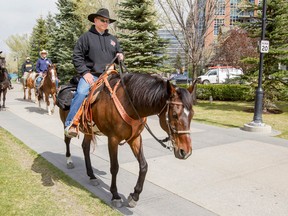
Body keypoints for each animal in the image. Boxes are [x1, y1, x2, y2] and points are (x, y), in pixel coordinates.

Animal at [59, 72, 197, 208]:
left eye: (192, 114)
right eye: (174, 115)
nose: (186, 151)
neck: (130, 104)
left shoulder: (135, 138)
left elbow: (144, 165)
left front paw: (134, 195)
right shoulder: (113, 139)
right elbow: (114, 167)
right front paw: (115, 195)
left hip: (89, 130)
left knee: (85, 147)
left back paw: (92, 176)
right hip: (67, 124)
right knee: (67, 141)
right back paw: (69, 161)